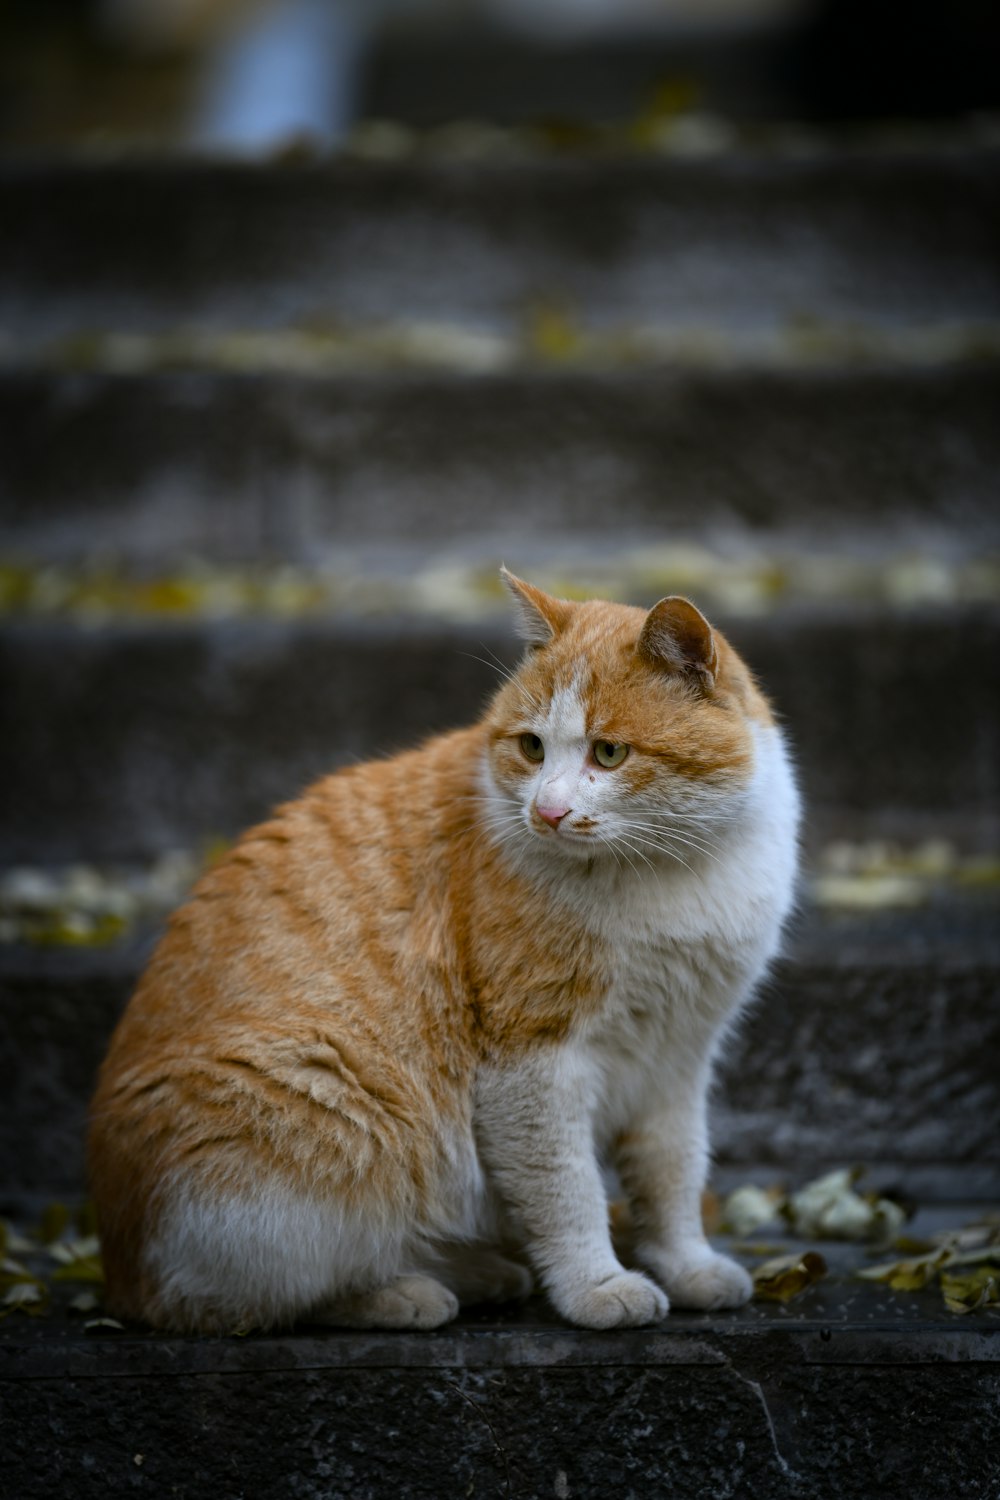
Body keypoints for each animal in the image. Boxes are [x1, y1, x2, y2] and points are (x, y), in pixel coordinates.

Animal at [89, 573, 803, 1338]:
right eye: (531, 747)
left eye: (609, 754)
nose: (547, 812)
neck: (668, 873)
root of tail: (119, 1274)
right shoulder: (533, 1062)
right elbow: (568, 1191)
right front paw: (597, 1286)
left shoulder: (679, 1058)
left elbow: (673, 1176)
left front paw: (687, 1266)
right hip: (329, 1114)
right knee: (260, 1295)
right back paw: (404, 1293)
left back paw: (480, 1272)